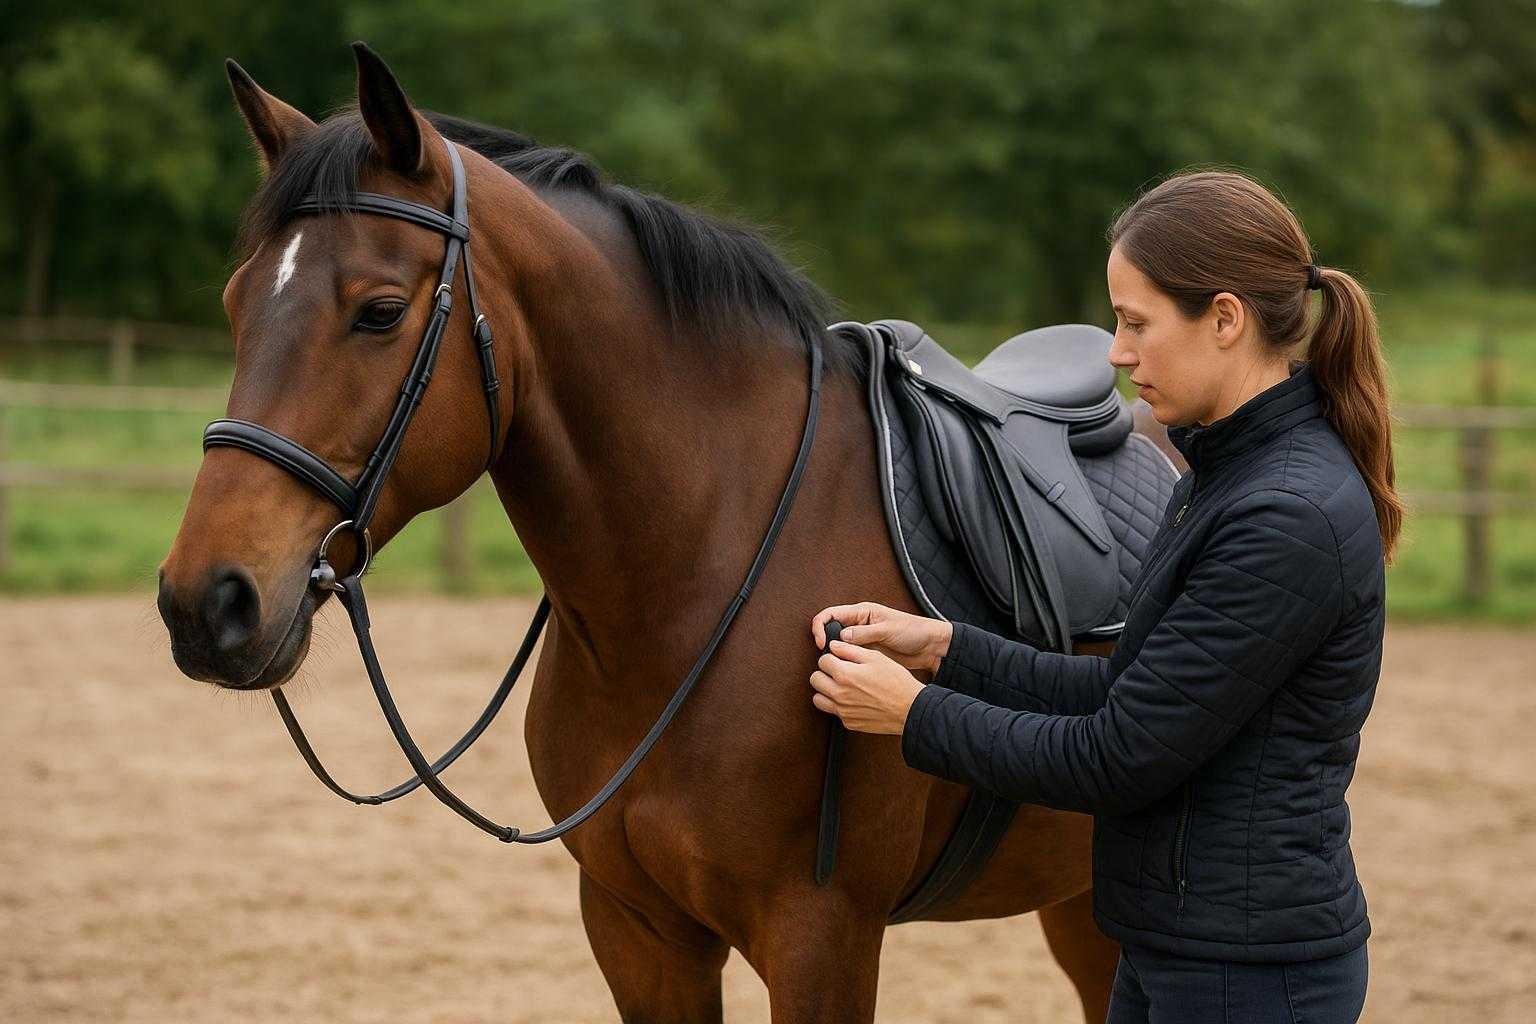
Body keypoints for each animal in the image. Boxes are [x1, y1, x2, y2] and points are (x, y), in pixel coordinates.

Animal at [157, 43, 1170, 1022]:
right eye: (236, 303)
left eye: (379, 312)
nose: (205, 602)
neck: (701, 572)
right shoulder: (635, 929)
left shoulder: (823, 938)